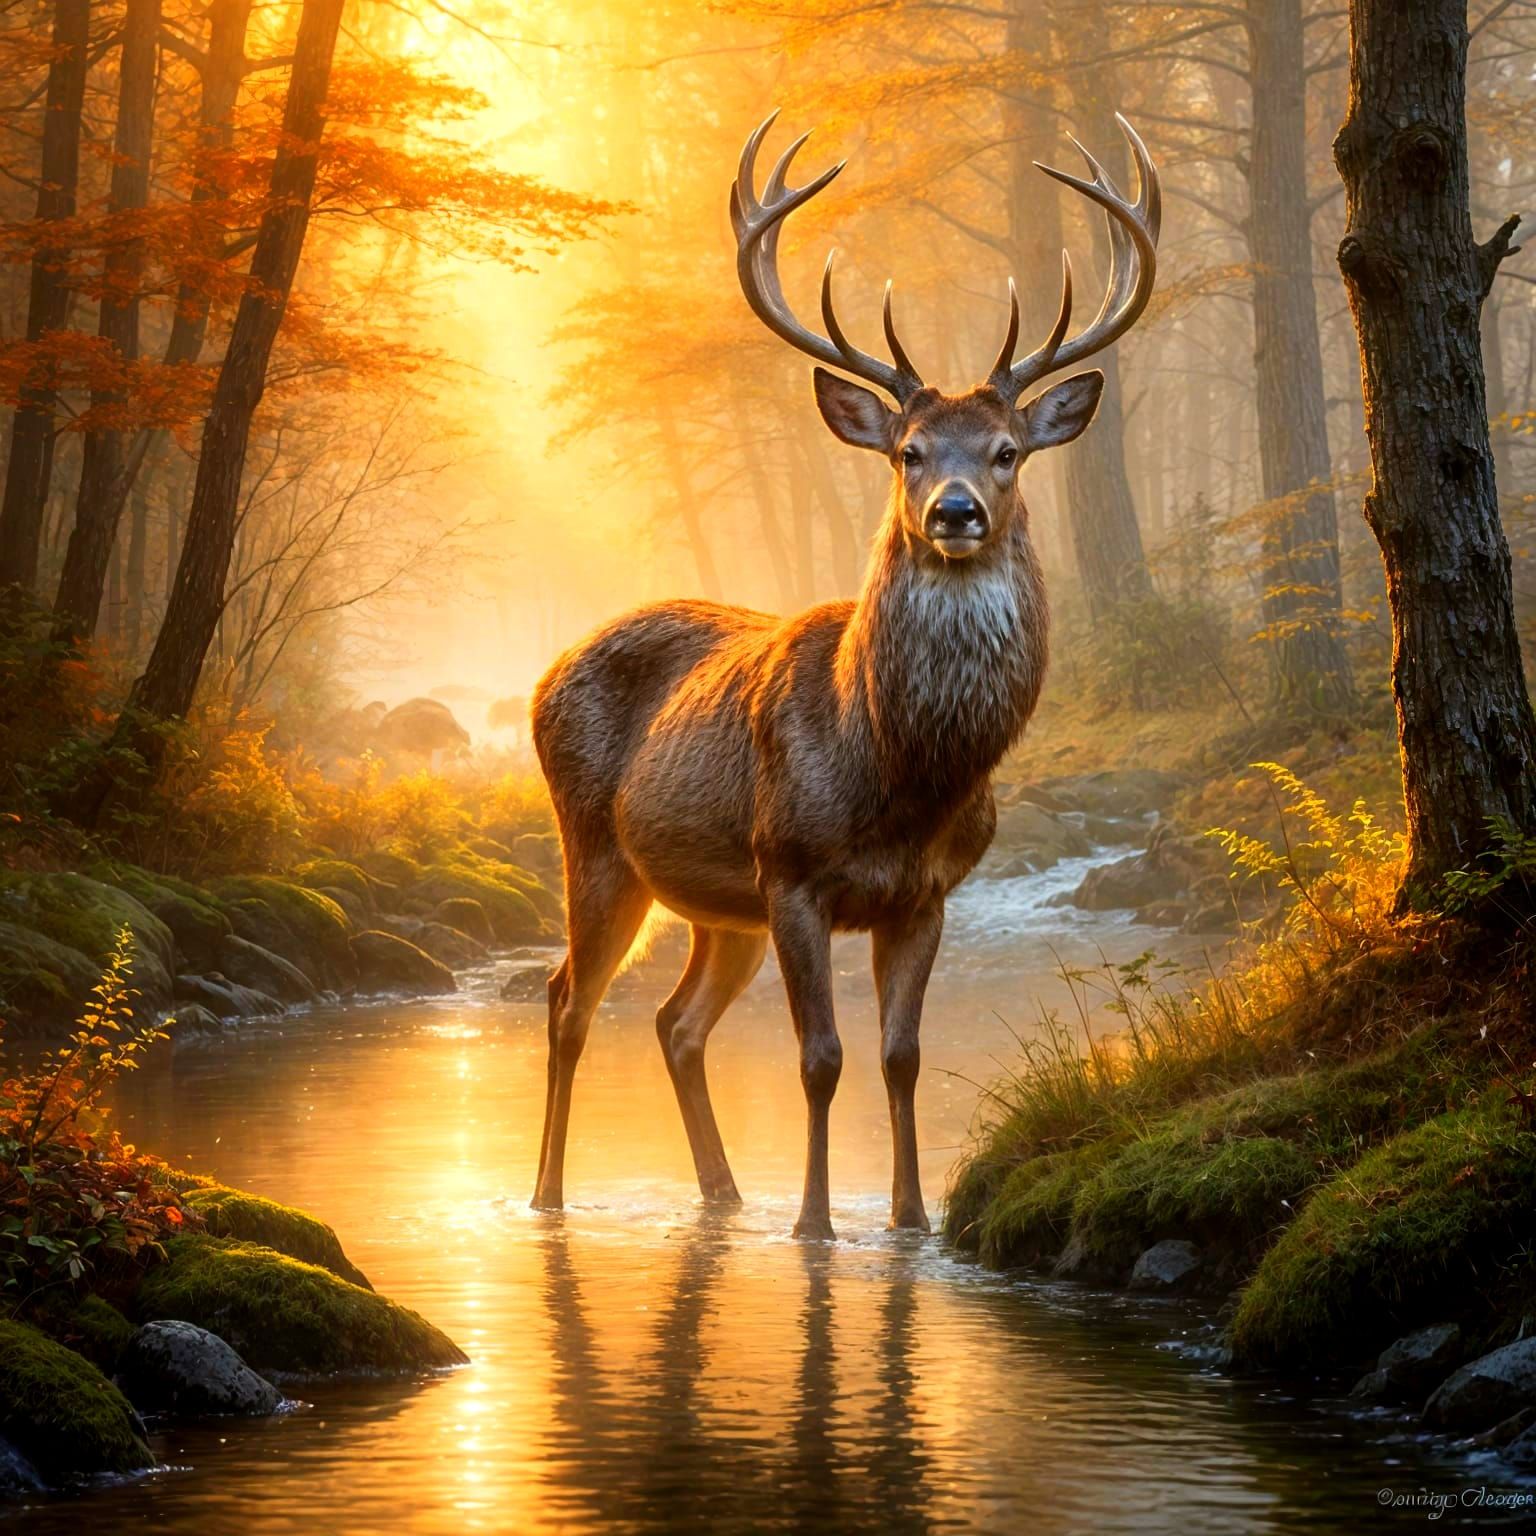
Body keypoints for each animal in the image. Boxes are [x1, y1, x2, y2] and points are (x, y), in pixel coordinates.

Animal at [530, 111, 1159, 1239]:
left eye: (1007, 451)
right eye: (908, 450)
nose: (956, 511)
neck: (898, 775)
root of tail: (543, 677)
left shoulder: (928, 891)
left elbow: (900, 1057)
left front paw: (910, 1221)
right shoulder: (793, 871)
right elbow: (819, 1060)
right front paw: (815, 1226)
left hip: (714, 902)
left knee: (675, 1022)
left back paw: (725, 1193)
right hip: (599, 849)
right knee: (567, 999)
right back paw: (549, 1196)